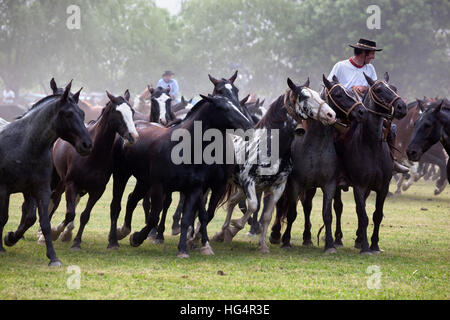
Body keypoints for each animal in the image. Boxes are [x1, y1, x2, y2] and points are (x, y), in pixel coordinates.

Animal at [0, 79, 92, 266]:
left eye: (82, 113)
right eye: (68, 114)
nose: (87, 144)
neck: (25, 145)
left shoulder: (38, 189)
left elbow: (41, 221)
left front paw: (53, 257)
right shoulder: (4, 189)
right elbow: (3, 218)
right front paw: (3, 246)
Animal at [42, 90, 140, 250]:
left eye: (132, 111)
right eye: (117, 113)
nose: (133, 136)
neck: (93, 155)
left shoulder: (97, 190)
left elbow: (84, 216)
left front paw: (76, 242)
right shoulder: (72, 184)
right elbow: (70, 214)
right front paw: (56, 232)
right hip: (56, 179)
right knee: (53, 200)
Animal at [213, 77, 336, 252]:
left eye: (319, 95)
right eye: (304, 96)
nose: (331, 114)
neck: (269, 145)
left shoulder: (278, 186)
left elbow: (266, 215)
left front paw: (262, 246)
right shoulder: (248, 181)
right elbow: (253, 206)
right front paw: (236, 225)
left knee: (231, 202)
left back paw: (222, 233)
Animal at [268, 75, 368, 252]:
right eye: (338, 94)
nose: (362, 111)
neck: (314, 149)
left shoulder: (329, 185)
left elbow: (327, 214)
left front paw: (330, 244)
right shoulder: (294, 183)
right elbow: (292, 213)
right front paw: (286, 241)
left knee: (308, 206)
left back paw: (307, 238)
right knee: (281, 205)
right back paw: (276, 234)